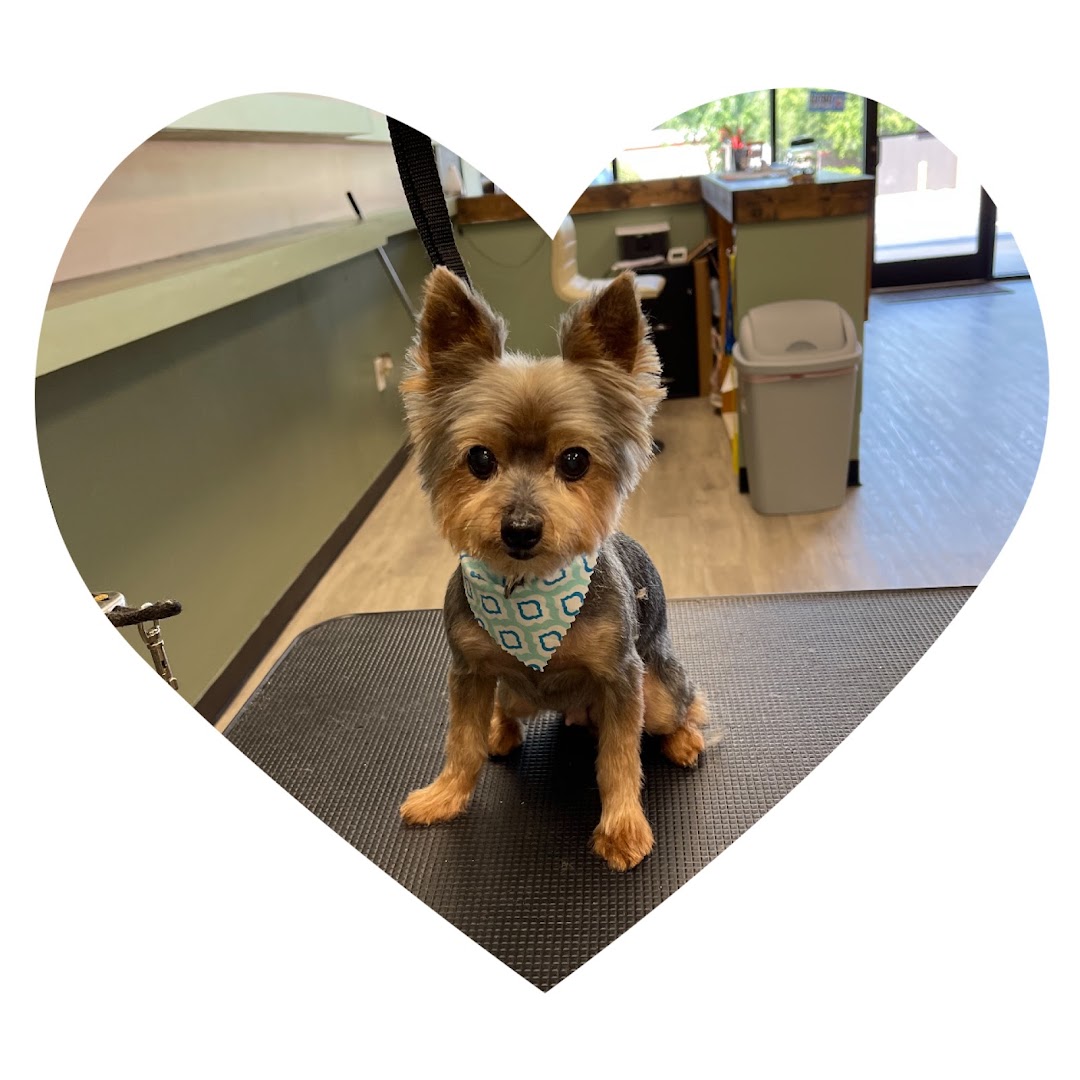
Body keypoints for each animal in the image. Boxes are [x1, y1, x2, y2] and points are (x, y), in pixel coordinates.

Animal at [398, 265, 709, 871]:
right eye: (479, 458)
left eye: (575, 460)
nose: (520, 528)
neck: (526, 591)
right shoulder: (468, 672)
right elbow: (461, 741)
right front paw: (444, 795)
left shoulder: (622, 679)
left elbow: (619, 758)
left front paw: (623, 828)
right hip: (508, 688)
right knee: (506, 711)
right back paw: (500, 731)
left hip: (657, 692)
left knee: (682, 707)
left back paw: (684, 740)